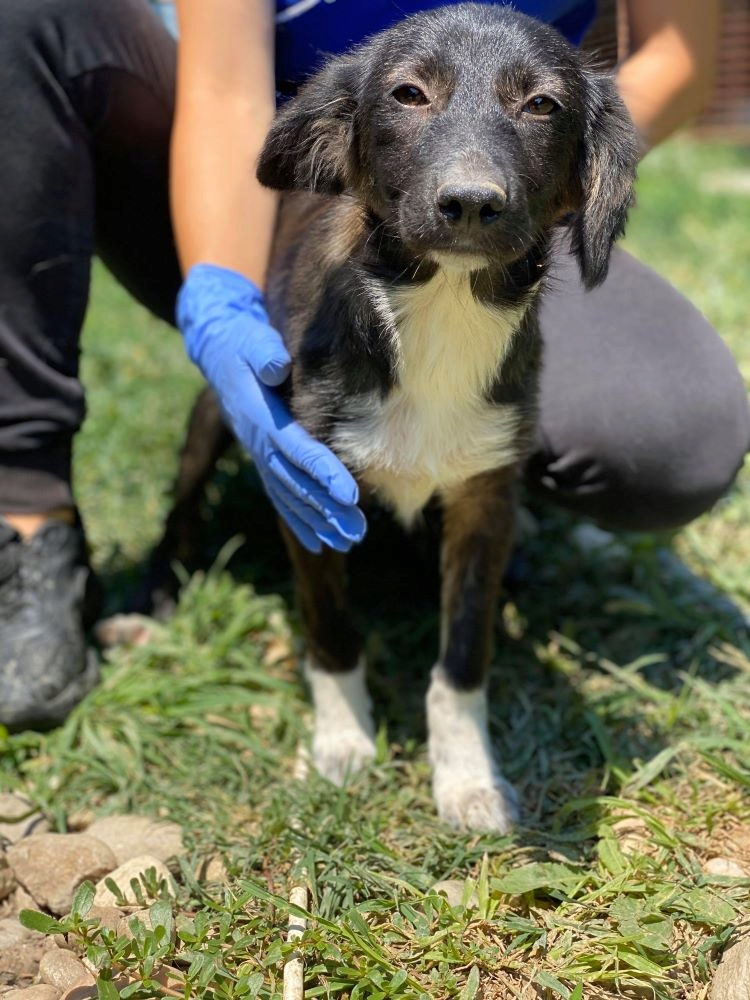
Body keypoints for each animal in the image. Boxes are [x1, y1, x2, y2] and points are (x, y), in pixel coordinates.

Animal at [150, 3, 636, 836]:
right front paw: (344, 741)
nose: (470, 203)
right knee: (182, 504)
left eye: (543, 104)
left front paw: (468, 777)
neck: (442, 307)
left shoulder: (485, 499)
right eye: (410, 94)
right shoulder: (309, 493)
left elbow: (464, 658)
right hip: (214, 413)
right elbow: (331, 631)